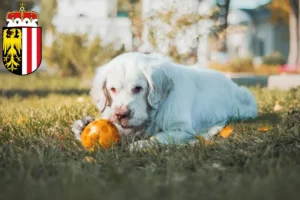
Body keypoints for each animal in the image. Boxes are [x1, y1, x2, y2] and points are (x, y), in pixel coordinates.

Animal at [71, 52, 256, 149]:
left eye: (138, 88)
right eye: (113, 89)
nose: (121, 114)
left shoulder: (181, 129)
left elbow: (159, 137)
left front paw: (139, 145)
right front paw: (82, 127)